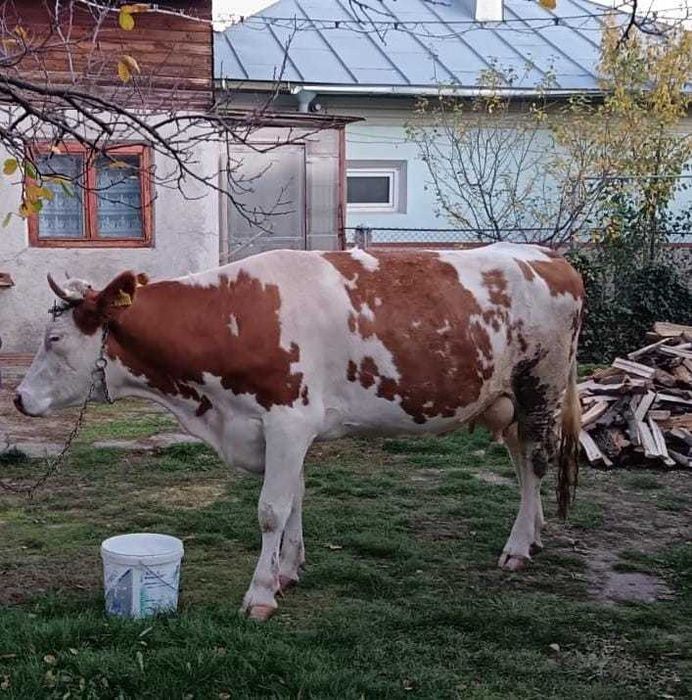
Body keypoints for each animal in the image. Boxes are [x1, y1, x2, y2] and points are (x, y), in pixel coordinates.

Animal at [14, 243, 583, 621]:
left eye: (55, 338)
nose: (19, 398)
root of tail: (548, 255)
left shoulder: (289, 419)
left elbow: (271, 509)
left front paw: (261, 593)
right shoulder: (278, 430)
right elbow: (296, 498)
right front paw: (289, 569)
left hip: (541, 386)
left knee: (536, 461)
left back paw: (517, 547)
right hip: (507, 402)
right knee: (522, 462)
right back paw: (532, 535)